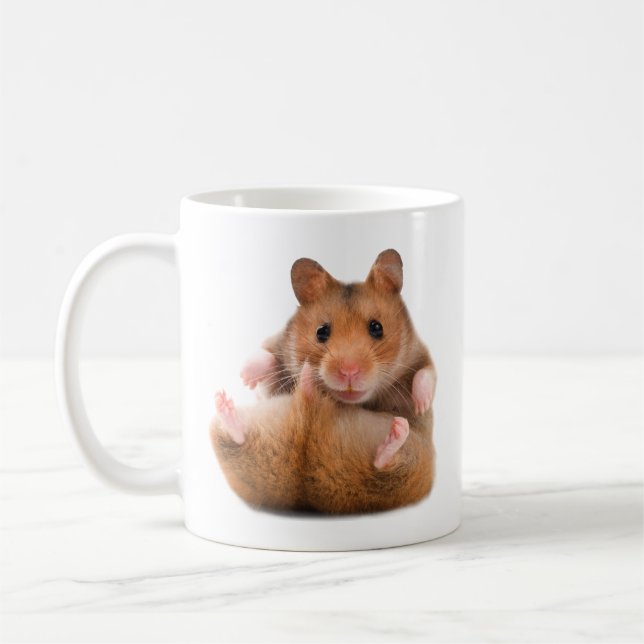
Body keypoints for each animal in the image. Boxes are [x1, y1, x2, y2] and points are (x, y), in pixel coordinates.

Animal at [210, 249, 437, 514]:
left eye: (377, 327)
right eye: (321, 331)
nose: (349, 371)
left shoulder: (421, 354)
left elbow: (425, 375)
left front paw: (421, 404)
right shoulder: (275, 363)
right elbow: (265, 359)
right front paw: (246, 377)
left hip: (411, 467)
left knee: (384, 465)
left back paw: (397, 430)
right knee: (238, 437)